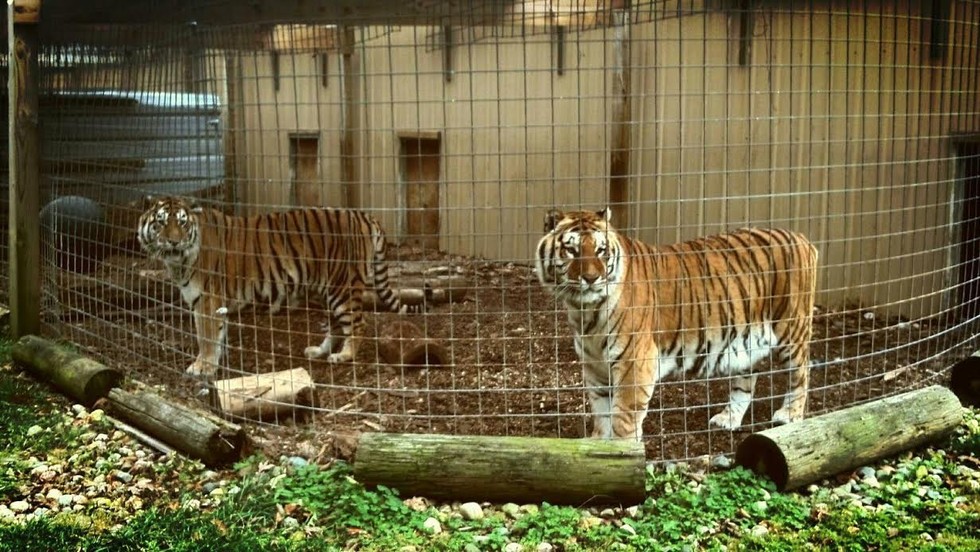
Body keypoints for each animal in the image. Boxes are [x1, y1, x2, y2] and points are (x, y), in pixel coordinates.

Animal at [137, 196, 427, 377]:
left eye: (181, 222)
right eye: (160, 222)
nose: (174, 242)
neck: (179, 261)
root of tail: (364, 216)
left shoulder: (207, 300)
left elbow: (205, 337)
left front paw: (202, 368)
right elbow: (216, 335)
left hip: (342, 287)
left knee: (358, 324)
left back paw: (344, 356)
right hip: (327, 290)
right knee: (336, 325)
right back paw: (319, 351)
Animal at [535, 208, 818, 440]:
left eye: (600, 251)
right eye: (571, 250)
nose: (592, 278)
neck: (584, 310)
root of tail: (802, 237)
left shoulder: (634, 363)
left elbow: (623, 419)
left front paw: (623, 452)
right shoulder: (595, 366)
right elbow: (602, 415)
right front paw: (598, 448)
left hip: (792, 329)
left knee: (801, 373)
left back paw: (789, 414)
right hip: (746, 339)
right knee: (746, 380)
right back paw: (727, 419)